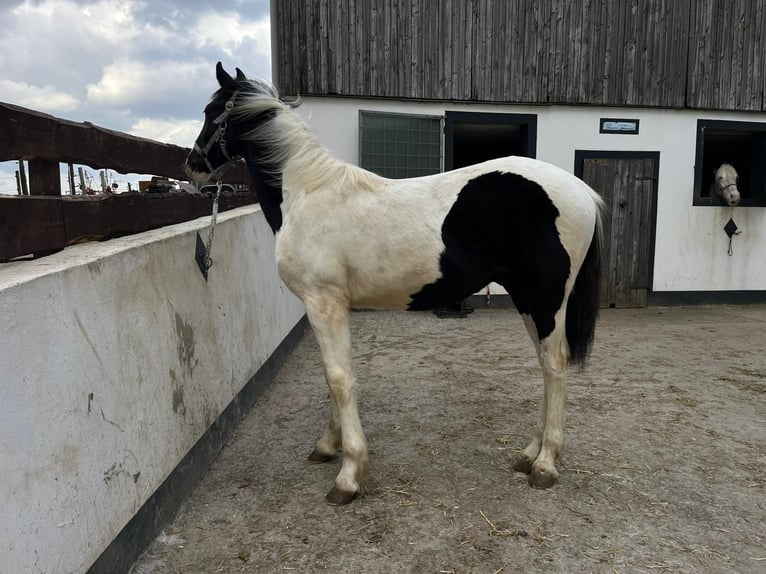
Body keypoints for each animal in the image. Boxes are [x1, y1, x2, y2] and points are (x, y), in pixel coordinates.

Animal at [185, 63, 605, 505]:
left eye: (211, 112)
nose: (191, 166)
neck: (307, 194)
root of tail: (582, 191)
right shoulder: (326, 306)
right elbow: (331, 375)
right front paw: (327, 447)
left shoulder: (324, 302)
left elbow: (339, 379)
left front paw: (349, 473)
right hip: (527, 299)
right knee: (545, 366)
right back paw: (529, 453)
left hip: (546, 299)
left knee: (555, 366)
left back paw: (545, 464)